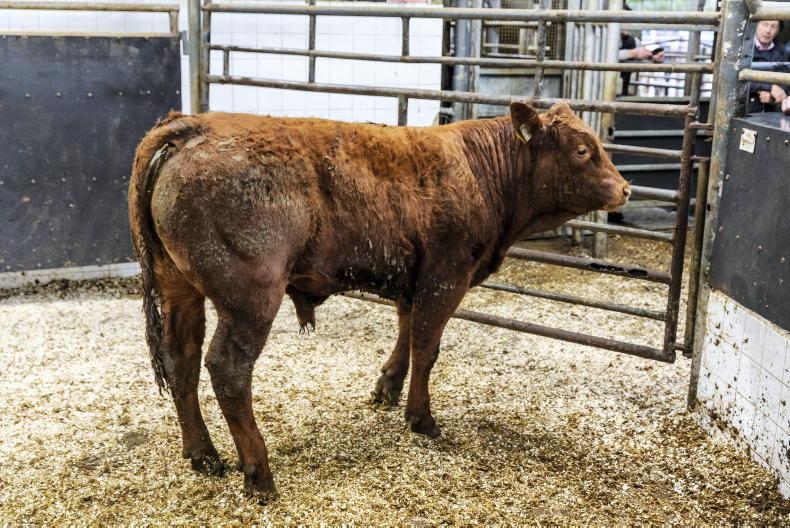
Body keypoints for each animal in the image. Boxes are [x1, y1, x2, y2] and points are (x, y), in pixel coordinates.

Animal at [128, 101, 630, 500]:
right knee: (227, 369)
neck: (481, 170)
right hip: (250, 297)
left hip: (179, 286)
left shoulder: (415, 277)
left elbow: (407, 330)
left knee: (181, 360)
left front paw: (388, 387)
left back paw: (203, 455)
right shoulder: (446, 277)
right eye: (582, 150)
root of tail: (191, 126)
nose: (625, 188)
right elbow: (427, 347)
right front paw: (422, 419)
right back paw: (258, 473)